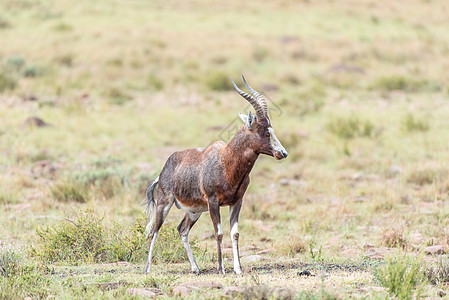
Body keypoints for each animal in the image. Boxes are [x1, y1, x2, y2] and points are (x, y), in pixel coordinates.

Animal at [144, 75, 288, 274]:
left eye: (271, 129)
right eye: (265, 131)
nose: (283, 153)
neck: (225, 161)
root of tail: (164, 170)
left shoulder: (236, 202)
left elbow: (235, 233)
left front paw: (238, 269)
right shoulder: (213, 203)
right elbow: (218, 233)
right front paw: (221, 269)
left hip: (194, 210)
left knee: (182, 229)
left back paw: (195, 268)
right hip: (165, 203)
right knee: (154, 231)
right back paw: (147, 269)